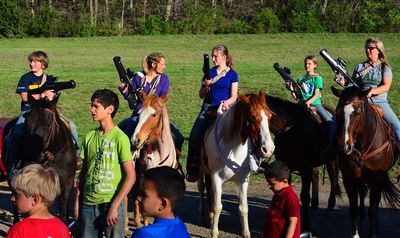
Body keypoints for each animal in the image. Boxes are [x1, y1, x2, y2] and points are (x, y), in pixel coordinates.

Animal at [199, 91, 276, 238]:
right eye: (252, 117)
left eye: (270, 116)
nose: (268, 149)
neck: (233, 149)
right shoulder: (216, 177)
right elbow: (218, 207)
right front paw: (214, 232)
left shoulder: (243, 180)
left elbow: (243, 208)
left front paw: (246, 233)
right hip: (202, 173)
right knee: (202, 189)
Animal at [264, 94, 340, 231]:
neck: (290, 129)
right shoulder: (286, 166)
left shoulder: (305, 167)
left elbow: (304, 196)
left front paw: (306, 225)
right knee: (316, 175)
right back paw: (315, 204)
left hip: (331, 160)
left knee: (333, 178)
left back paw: (330, 205)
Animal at [332, 86, 400, 238]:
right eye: (338, 111)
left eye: (358, 112)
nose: (344, 147)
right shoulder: (349, 179)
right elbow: (353, 210)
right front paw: (355, 234)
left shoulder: (377, 179)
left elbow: (373, 211)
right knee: (362, 193)